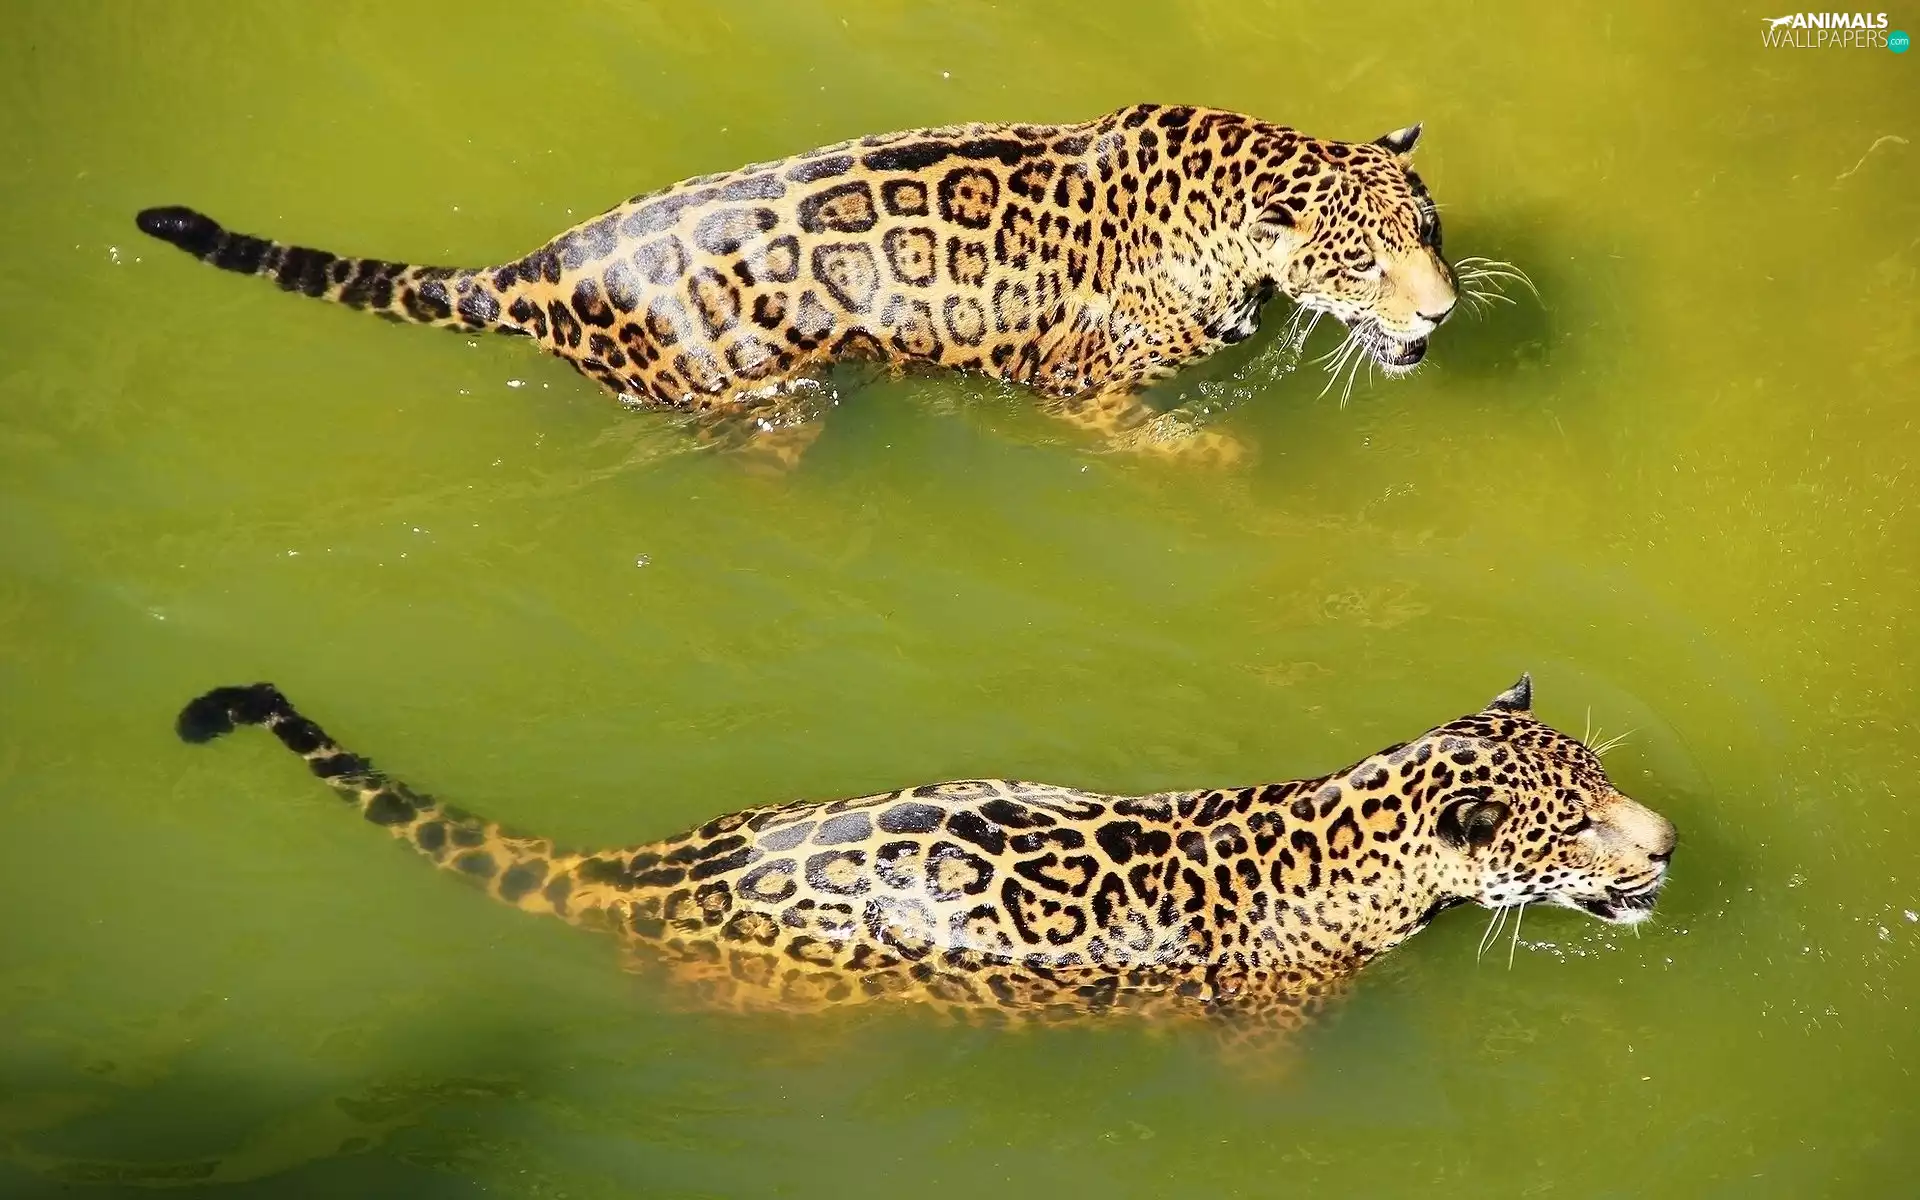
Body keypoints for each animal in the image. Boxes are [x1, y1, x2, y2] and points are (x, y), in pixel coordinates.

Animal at [134, 103, 1458, 468]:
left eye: (1431, 233)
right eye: (1364, 261)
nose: (1444, 308)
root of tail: (536, 273)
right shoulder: (1077, 388)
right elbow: (1151, 437)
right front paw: (1221, 457)